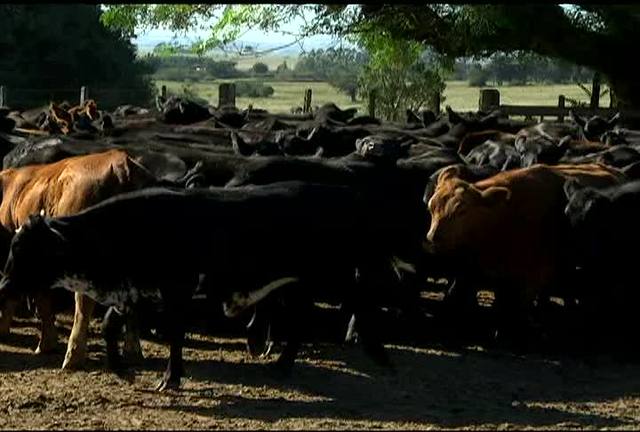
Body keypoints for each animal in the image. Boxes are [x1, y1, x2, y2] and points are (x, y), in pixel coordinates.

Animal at [0, 182, 396, 392]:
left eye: (24, 249)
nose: (4, 284)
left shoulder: (176, 290)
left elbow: (175, 332)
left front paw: (171, 378)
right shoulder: (137, 291)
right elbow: (112, 324)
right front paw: (123, 369)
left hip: (330, 272)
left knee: (357, 299)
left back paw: (378, 353)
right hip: (298, 284)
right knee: (301, 320)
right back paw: (282, 364)